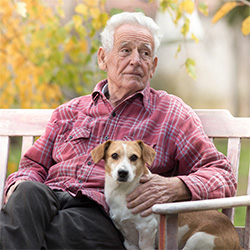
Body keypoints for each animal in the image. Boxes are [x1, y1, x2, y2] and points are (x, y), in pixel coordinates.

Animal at [91, 140, 242, 249]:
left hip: (198, 240)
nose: (123, 172)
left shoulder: (147, 229)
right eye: (114, 155)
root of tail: (237, 240)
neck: (122, 192)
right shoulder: (129, 241)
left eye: (134, 157)